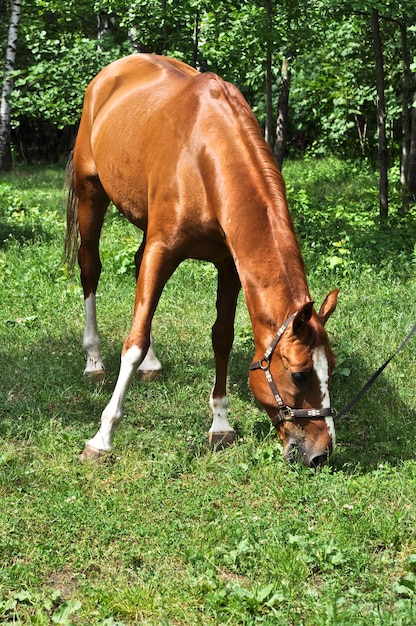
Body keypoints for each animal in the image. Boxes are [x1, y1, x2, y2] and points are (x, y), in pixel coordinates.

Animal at [64, 54, 338, 464]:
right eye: (300, 374)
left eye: (331, 368)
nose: (321, 453)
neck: (205, 156)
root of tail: (111, 73)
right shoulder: (163, 249)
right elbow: (133, 342)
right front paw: (102, 437)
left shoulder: (229, 266)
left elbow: (221, 337)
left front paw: (220, 424)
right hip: (90, 193)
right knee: (90, 269)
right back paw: (94, 361)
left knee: (137, 274)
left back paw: (152, 364)